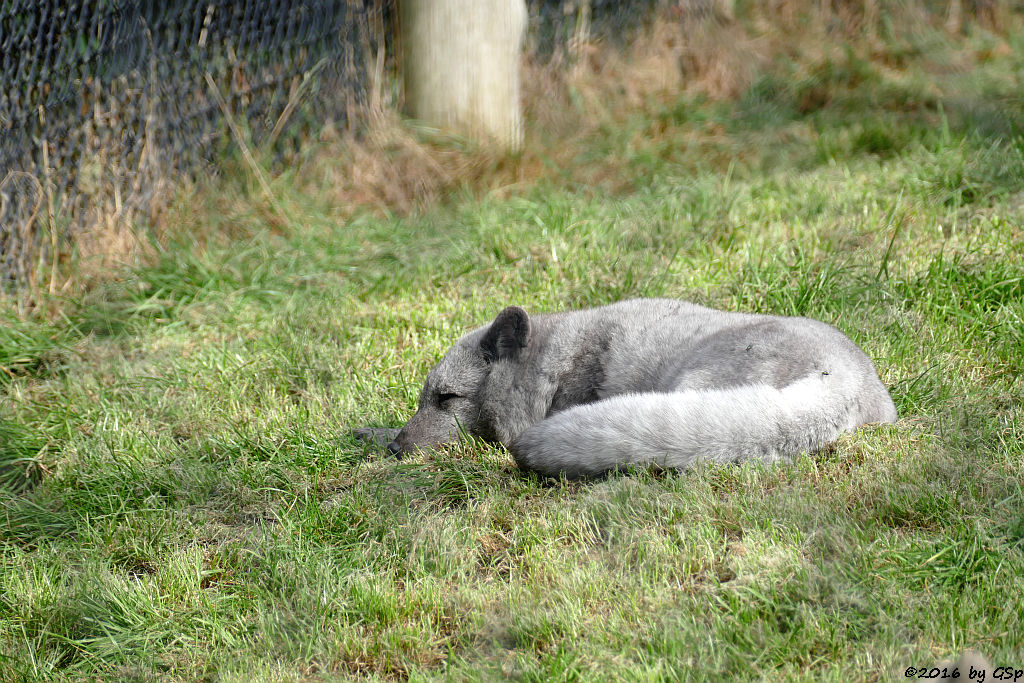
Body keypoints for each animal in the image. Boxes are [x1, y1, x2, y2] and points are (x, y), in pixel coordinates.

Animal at [356, 299, 901, 481]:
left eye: (447, 399)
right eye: (423, 400)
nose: (398, 449)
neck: (554, 367)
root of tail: (843, 378)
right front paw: (369, 434)